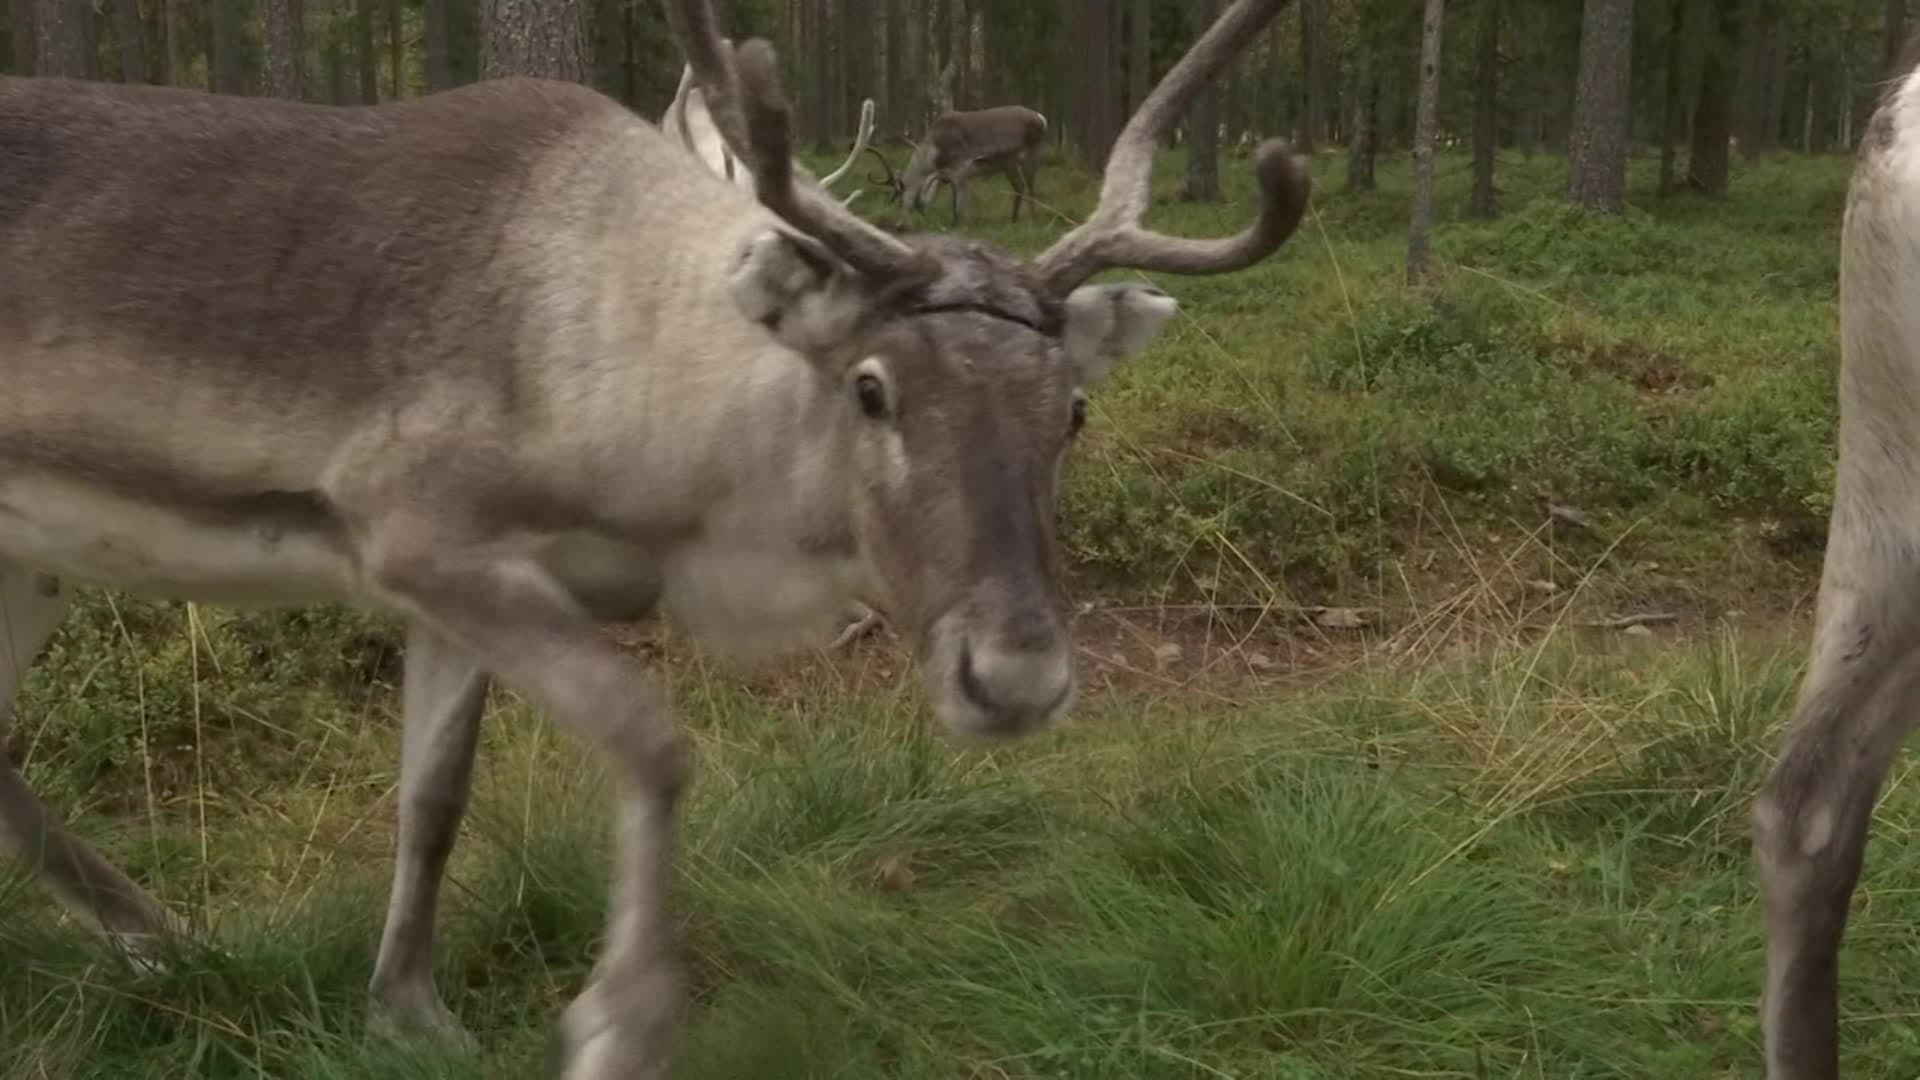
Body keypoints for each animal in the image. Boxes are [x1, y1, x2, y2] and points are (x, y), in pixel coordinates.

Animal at [896, 104, 1050, 225]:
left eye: (900, 196)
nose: (901, 226)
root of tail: (1041, 118)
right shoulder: (949, 176)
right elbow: (958, 201)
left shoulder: (960, 169)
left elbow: (958, 205)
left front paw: (959, 225)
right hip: (1009, 164)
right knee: (1020, 186)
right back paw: (1014, 219)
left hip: (1031, 155)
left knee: (1030, 187)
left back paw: (1033, 219)